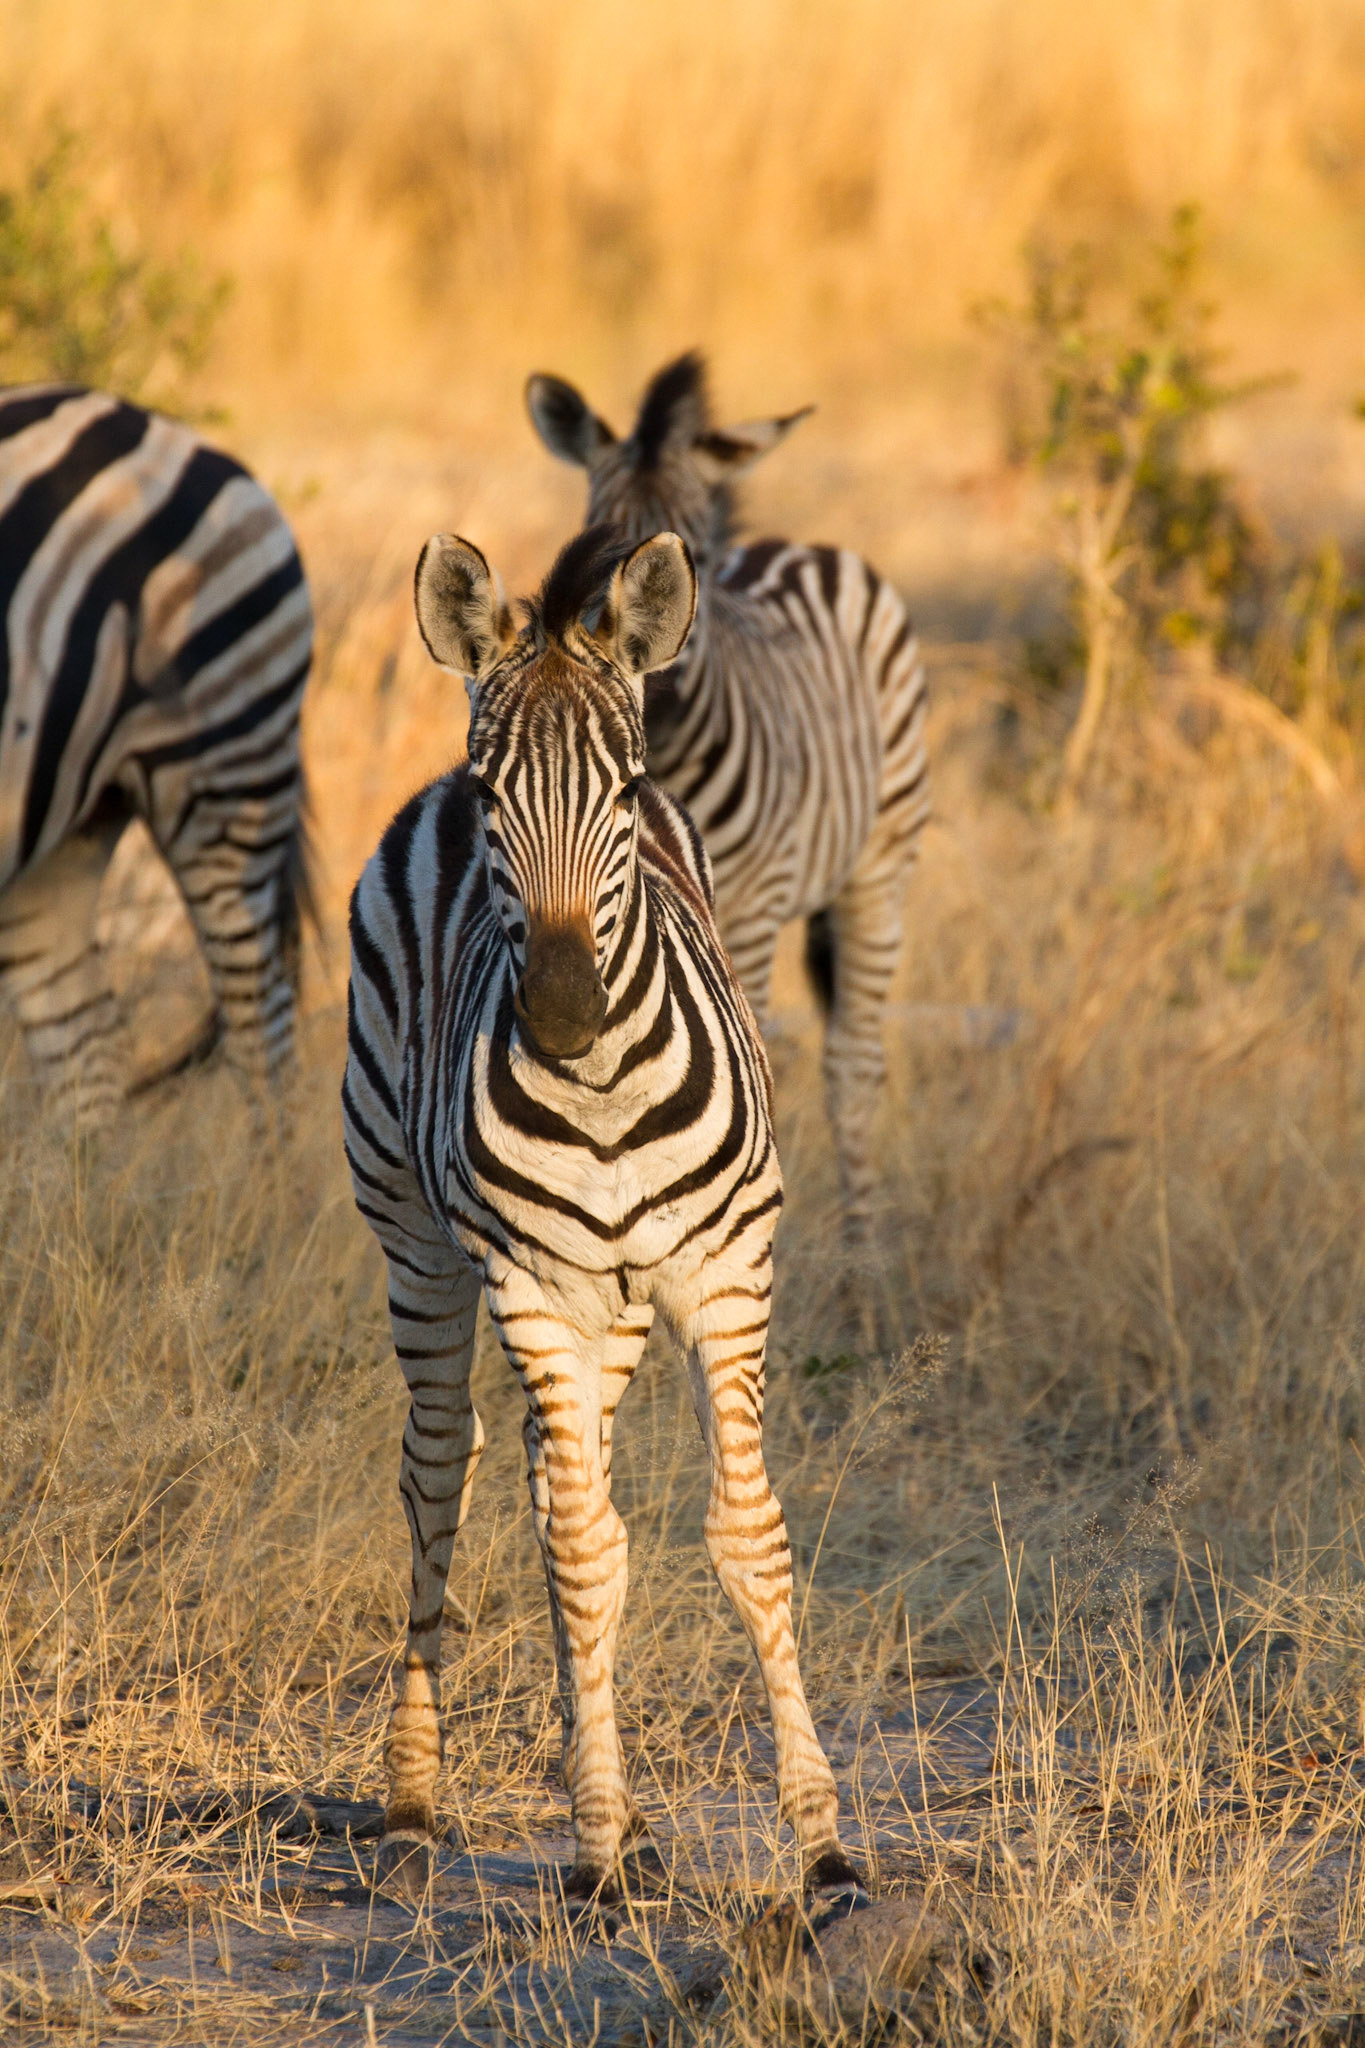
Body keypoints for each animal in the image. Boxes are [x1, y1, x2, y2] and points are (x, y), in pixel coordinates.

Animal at [343, 522, 860, 1901]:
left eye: (625, 792)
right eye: (494, 797)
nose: (565, 1011)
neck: (607, 1087)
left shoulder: (726, 1272)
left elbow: (744, 1538)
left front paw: (823, 1843)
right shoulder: (532, 1286)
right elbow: (583, 1554)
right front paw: (593, 1845)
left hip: (618, 1306)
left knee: (554, 1487)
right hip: (419, 1239)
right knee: (446, 1470)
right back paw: (416, 1799)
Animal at [526, 354, 930, 1318]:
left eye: (692, 558)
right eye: (587, 541)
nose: (649, 695)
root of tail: (799, 546)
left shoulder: (741, 906)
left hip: (879, 866)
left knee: (853, 1063)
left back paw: (862, 1270)